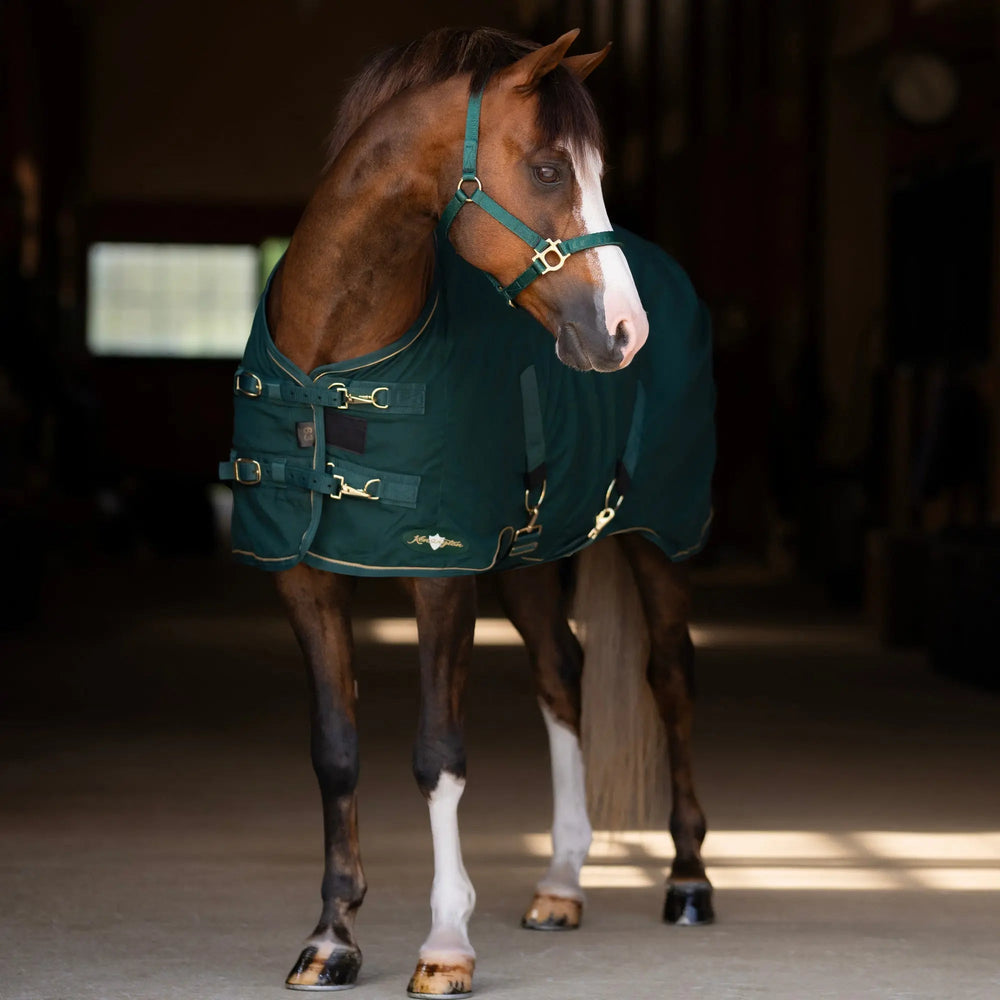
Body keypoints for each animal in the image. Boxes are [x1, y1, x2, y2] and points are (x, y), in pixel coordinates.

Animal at [220, 26, 714, 998]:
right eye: (552, 168)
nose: (624, 331)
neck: (337, 351)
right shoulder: (303, 578)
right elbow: (335, 751)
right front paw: (331, 937)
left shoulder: (439, 571)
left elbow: (437, 756)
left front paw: (446, 945)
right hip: (528, 557)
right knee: (561, 674)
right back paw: (561, 885)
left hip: (657, 540)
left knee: (671, 678)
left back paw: (686, 881)